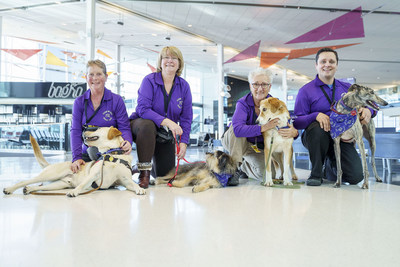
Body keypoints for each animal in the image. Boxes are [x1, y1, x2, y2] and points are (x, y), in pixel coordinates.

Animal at [2, 126, 146, 198]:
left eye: (96, 128)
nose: (83, 130)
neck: (111, 154)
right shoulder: (92, 175)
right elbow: (82, 185)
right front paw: (74, 192)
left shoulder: (125, 181)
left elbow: (133, 184)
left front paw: (140, 188)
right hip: (50, 174)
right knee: (24, 181)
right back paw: (9, 189)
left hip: (57, 184)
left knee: (40, 187)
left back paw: (29, 189)